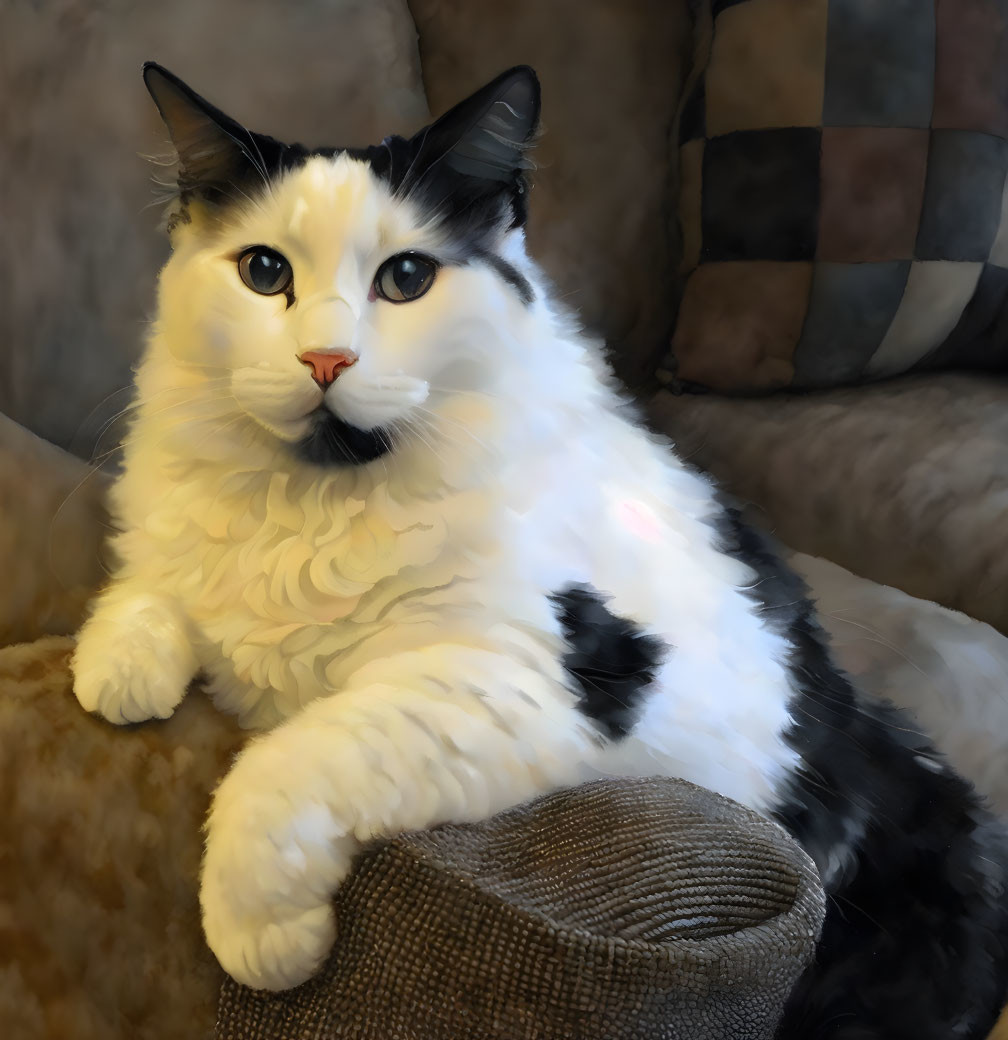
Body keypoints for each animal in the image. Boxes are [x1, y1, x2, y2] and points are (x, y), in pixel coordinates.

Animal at [72, 62, 1006, 1031]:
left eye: (406, 278)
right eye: (265, 272)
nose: (325, 361)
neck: (313, 504)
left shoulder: (525, 684)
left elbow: (285, 759)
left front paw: (263, 936)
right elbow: (151, 588)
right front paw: (122, 669)